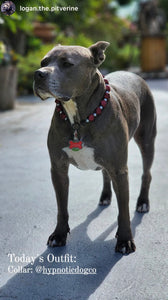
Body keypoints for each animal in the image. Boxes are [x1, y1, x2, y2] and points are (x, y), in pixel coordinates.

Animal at [33, 41, 157, 254]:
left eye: (67, 63)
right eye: (43, 62)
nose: (38, 74)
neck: (78, 118)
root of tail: (134, 74)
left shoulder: (120, 170)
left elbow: (123, 210)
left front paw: (125, 240)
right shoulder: (58, 169)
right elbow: (61, 207)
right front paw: (59, 234)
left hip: (147, 140)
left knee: (146, 173)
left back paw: (142, 202)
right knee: (105, 173)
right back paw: (106, 196)